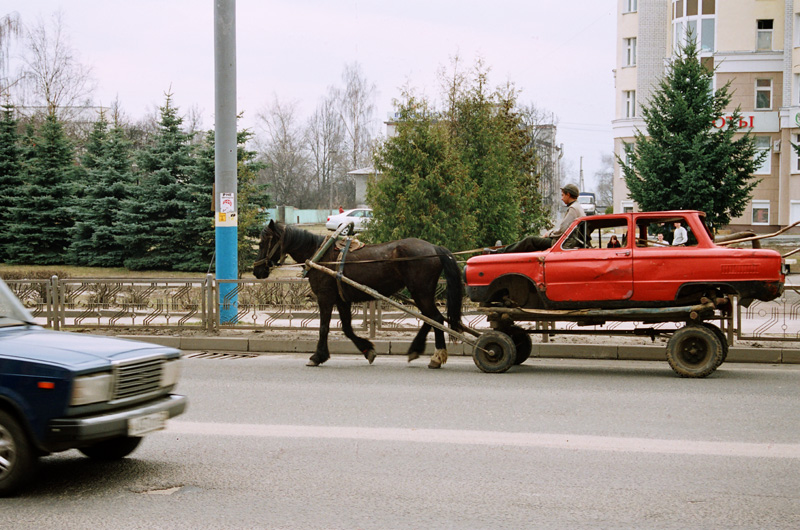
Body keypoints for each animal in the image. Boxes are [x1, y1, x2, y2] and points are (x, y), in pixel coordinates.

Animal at [253, 219, 466, 368]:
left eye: (263, 242)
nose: (256, 271)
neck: (321, 254)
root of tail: (435, 248)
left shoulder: (325, 298)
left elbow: (324, 327)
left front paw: (317, 356)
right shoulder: (342, 300)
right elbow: (347, 328)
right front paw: (367, 349)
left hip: (420, 292)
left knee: (435, 318)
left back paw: (436, 356)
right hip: (420, 293)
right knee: (431, 319)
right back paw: (418, 349)